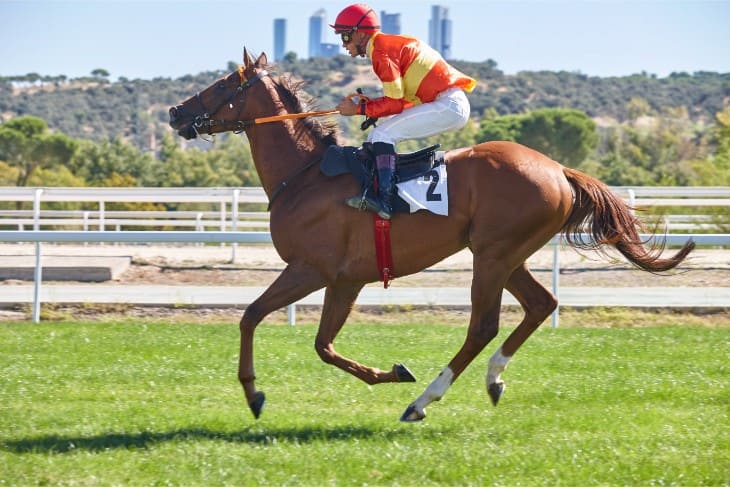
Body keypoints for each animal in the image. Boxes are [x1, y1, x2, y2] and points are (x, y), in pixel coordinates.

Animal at [168, 49, 692, 424]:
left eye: (223, 84)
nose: (174, 112)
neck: (305, 175)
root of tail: (558, 169)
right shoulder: (346, 279)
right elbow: (324, 345)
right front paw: (391, 372)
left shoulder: (309, 269)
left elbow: (251, 316)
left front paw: (253, 392)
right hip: (507, 254)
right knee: (541, 304)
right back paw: (491, 380)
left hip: (493, 255)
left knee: (483, 326)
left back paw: (423, 401)